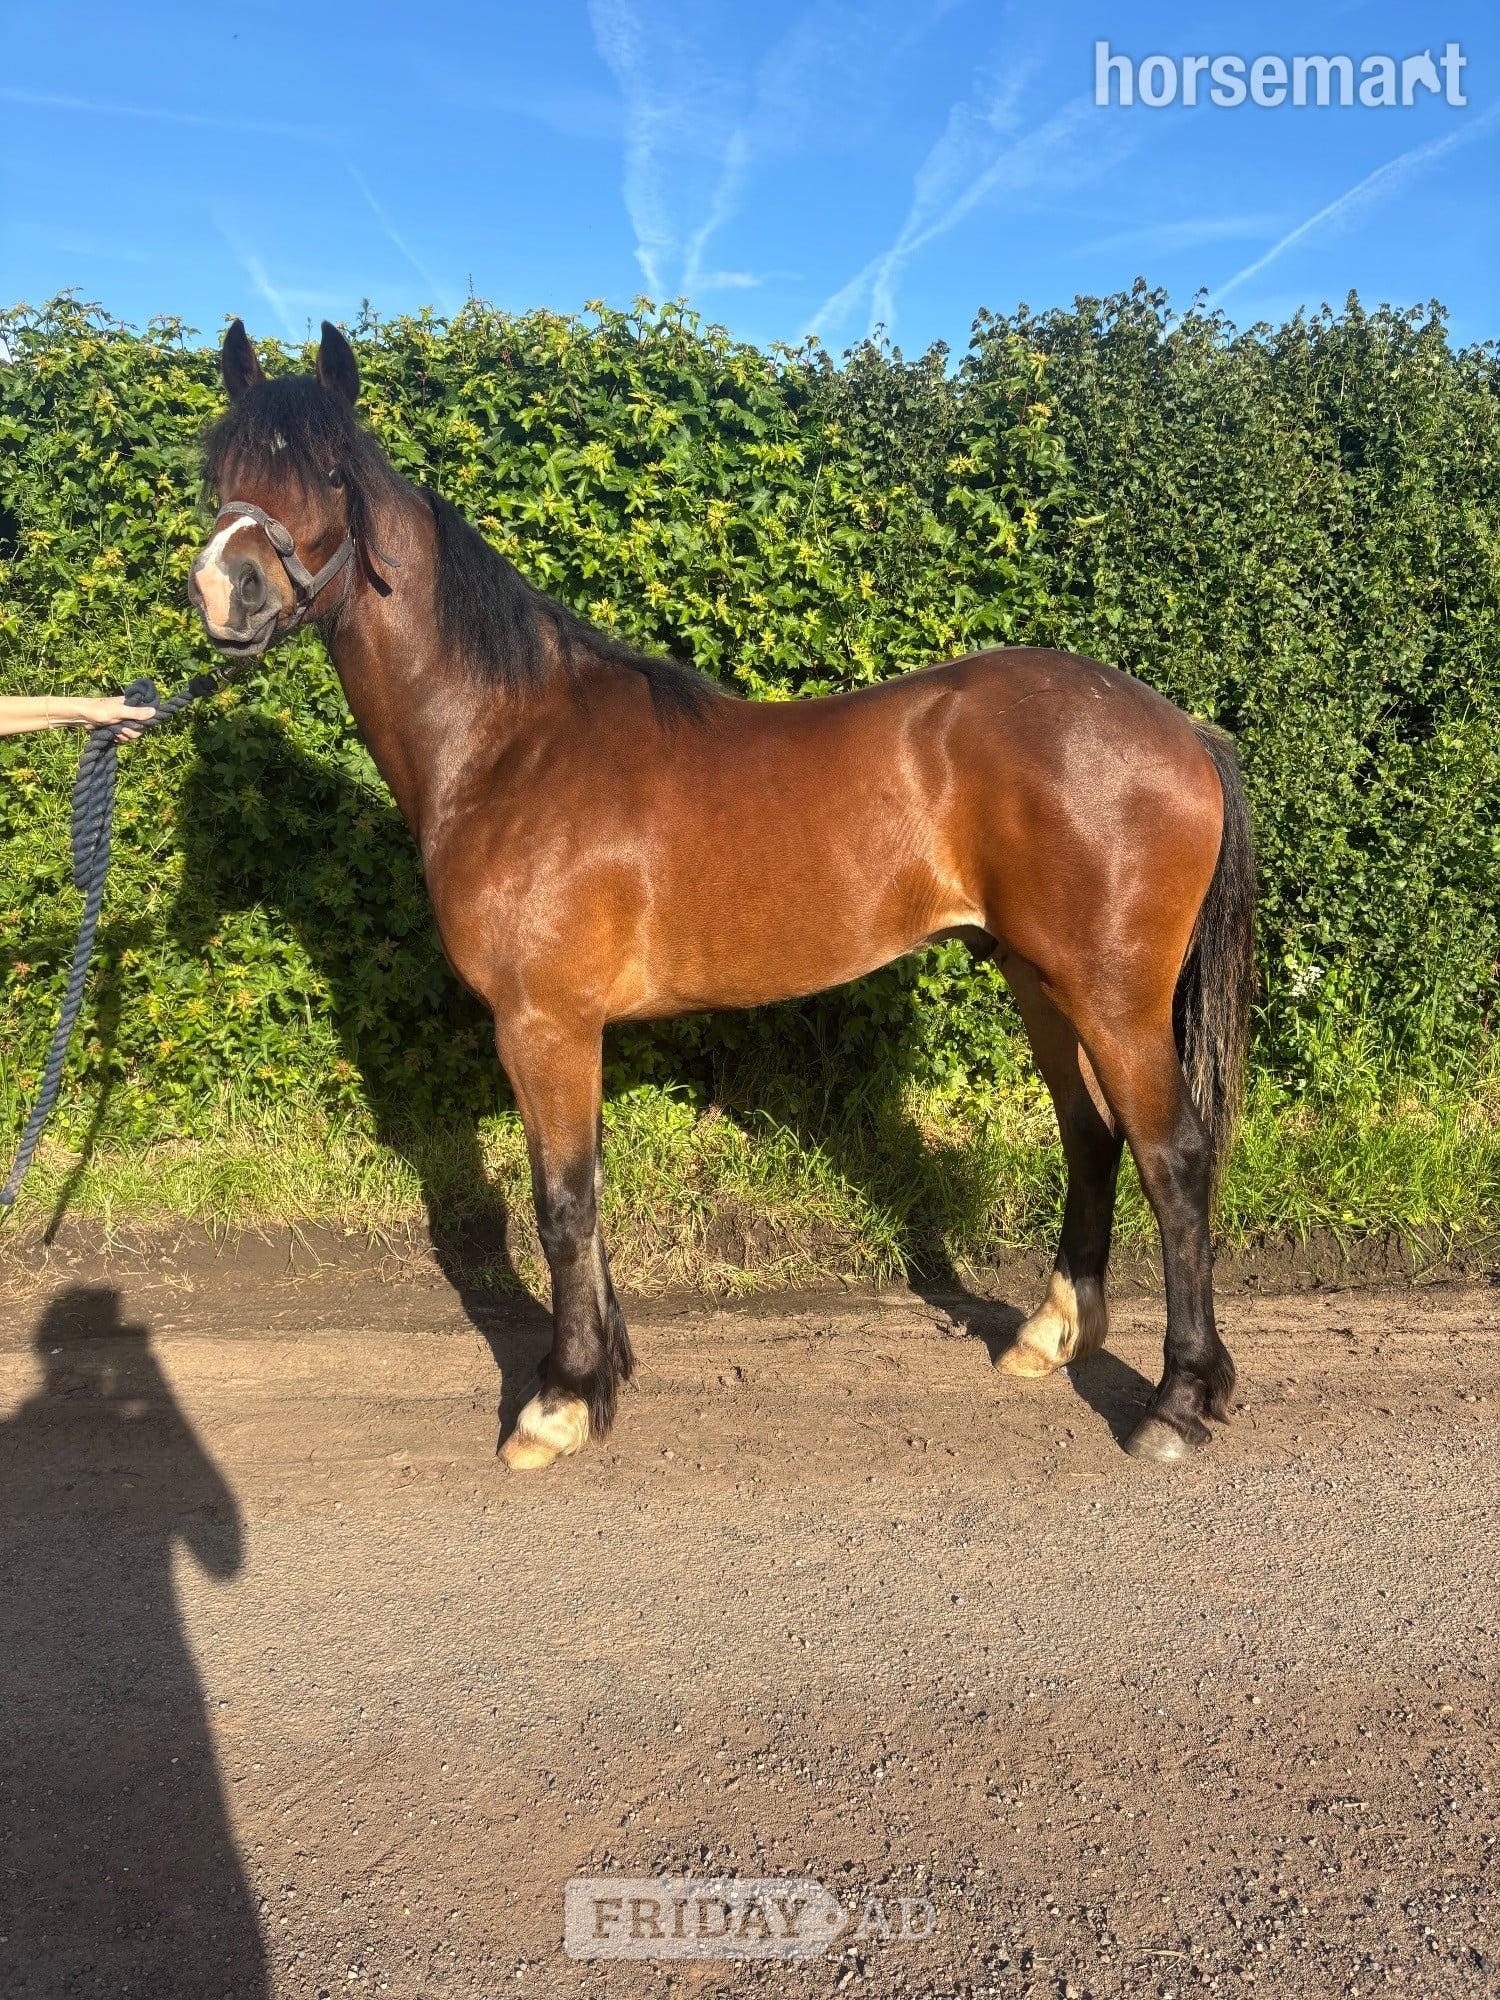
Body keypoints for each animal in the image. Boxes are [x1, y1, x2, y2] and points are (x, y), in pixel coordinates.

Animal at [187, 319, 1256, 1470]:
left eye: (330, 473)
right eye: (219, 469)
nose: (226, 589)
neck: (507, 743)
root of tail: (1182, 728)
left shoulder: (542, 1023)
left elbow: (562, 1205)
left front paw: (558, 1402)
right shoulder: (564, 1031)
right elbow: (588, 1195)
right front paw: (605, 1372)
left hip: (1114, 994)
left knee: (1174, 1158)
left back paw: (1176, 1401)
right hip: (1039, 978)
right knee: (1091, 1137)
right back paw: (1050, 1336)